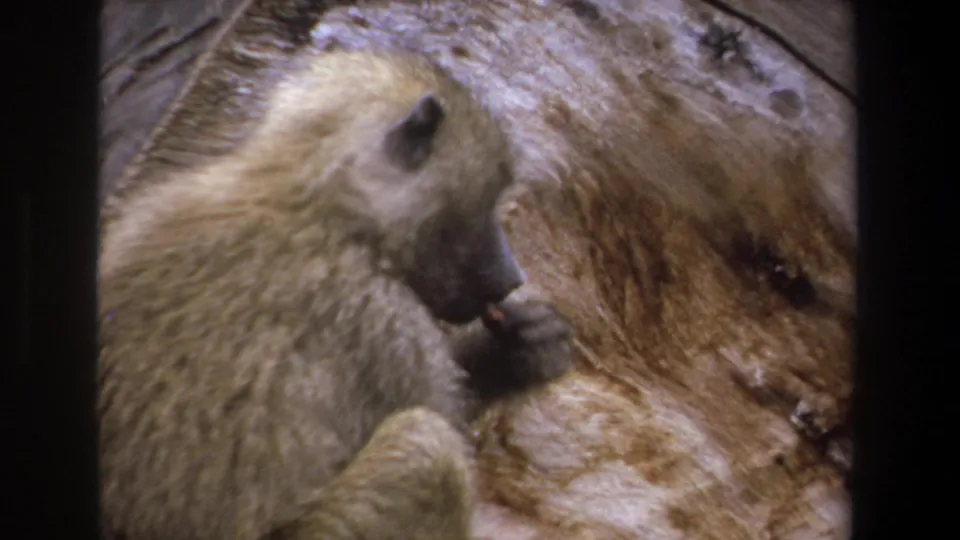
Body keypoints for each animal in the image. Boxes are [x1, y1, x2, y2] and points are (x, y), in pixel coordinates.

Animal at [97, 48, 573, 540]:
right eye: (492, 196)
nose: (513, 275)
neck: (319, 195)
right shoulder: (382, 323)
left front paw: (516, 351)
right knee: (427, 451)